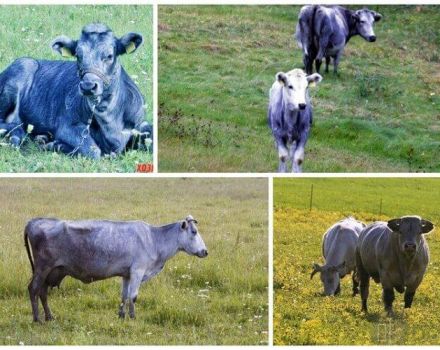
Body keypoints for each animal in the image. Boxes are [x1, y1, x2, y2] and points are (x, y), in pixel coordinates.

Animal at [0, 22, 151, 158]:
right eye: (78, 55)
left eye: (109, 56)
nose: (88, 85)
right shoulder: (67, 126)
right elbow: (93, 151)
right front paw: (56, 145)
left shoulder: (140, 123)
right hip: (22, 68)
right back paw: (19, 135)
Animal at [23, 213, 208, 322]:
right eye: (194, 232)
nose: (205, 251)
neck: (154, 239)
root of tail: (34, 221)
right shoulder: (137, 271)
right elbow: (133, 296)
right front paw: (133, 317)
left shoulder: (127, 274)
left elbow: (124, 296)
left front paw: (122, 315)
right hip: (42, 268)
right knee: (33, 289)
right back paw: (37, 319)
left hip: (50, 271)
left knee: (43, 292)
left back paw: (49, 316)